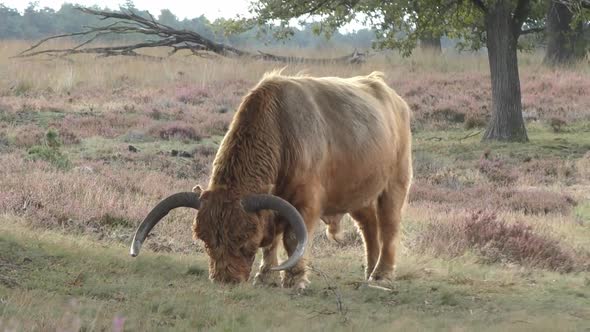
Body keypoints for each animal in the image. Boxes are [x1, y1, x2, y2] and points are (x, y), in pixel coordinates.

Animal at [131, 70, 414, 288]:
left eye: (244, 242)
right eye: (205, 239)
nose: (225, 280)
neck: (281, 129)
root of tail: (388, 92)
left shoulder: (306, 203)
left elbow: (292, 239)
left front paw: (294, 279)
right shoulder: (274, 204)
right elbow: (273, 242)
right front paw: (265, 276)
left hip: (395, 184)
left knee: (389, 226)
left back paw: (382, 274)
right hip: (359, 194)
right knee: (369, 227)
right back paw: (369, 271)